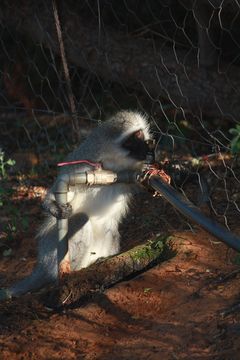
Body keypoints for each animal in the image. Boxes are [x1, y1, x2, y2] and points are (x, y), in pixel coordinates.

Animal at [1, 111, 152, 300]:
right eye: (130, 141)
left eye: (140, 135)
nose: (146, 149)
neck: (114, 162)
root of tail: (41, 263)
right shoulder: (83, 164)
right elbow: (60, 187)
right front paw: (52, 206)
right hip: (52, 251)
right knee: (81, 219)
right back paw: (75, 272)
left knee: (111, 230)